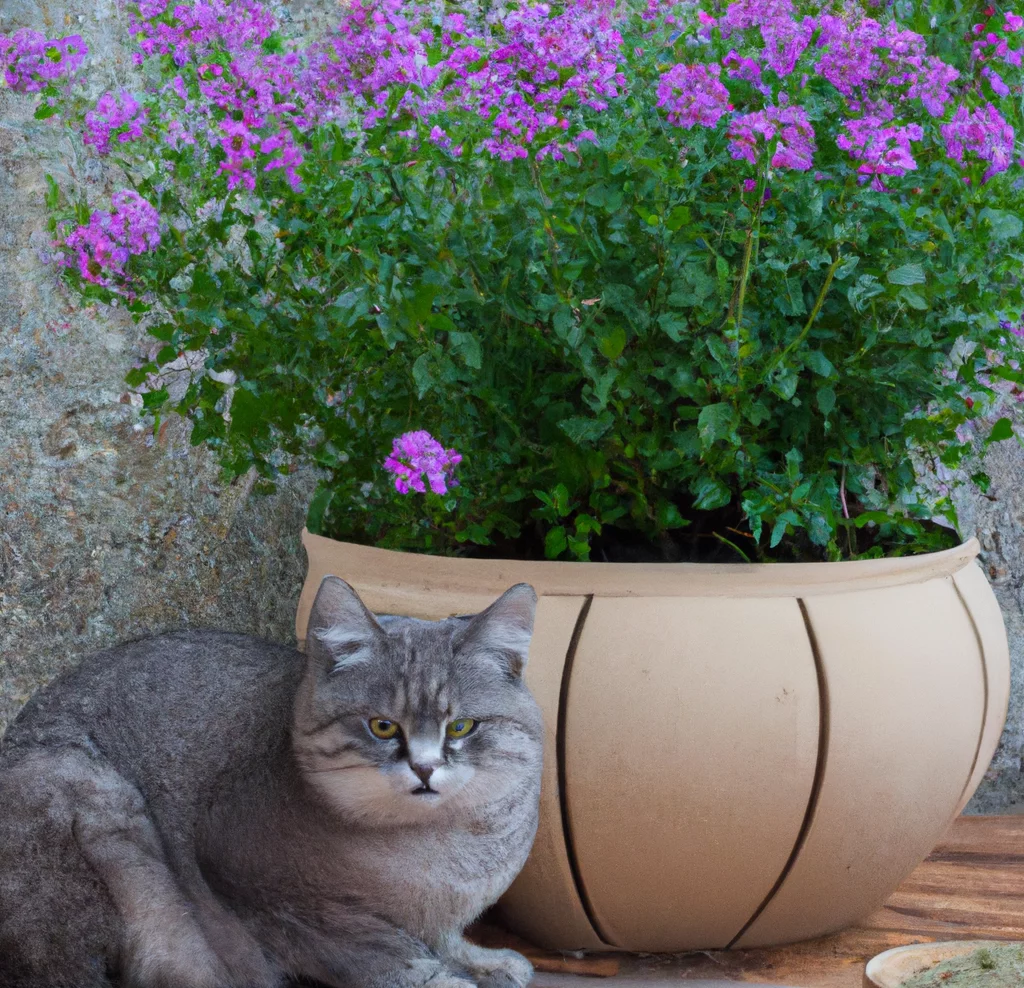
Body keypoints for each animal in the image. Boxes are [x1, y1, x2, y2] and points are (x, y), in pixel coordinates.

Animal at [0, 573, 544, 982]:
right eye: (383, 726)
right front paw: (441, 976)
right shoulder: (253, 886)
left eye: (462, 726)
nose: (426, 768)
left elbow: (442, 940)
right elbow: (380, 950)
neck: (440, 845)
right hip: (102, 800)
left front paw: (479, 961)